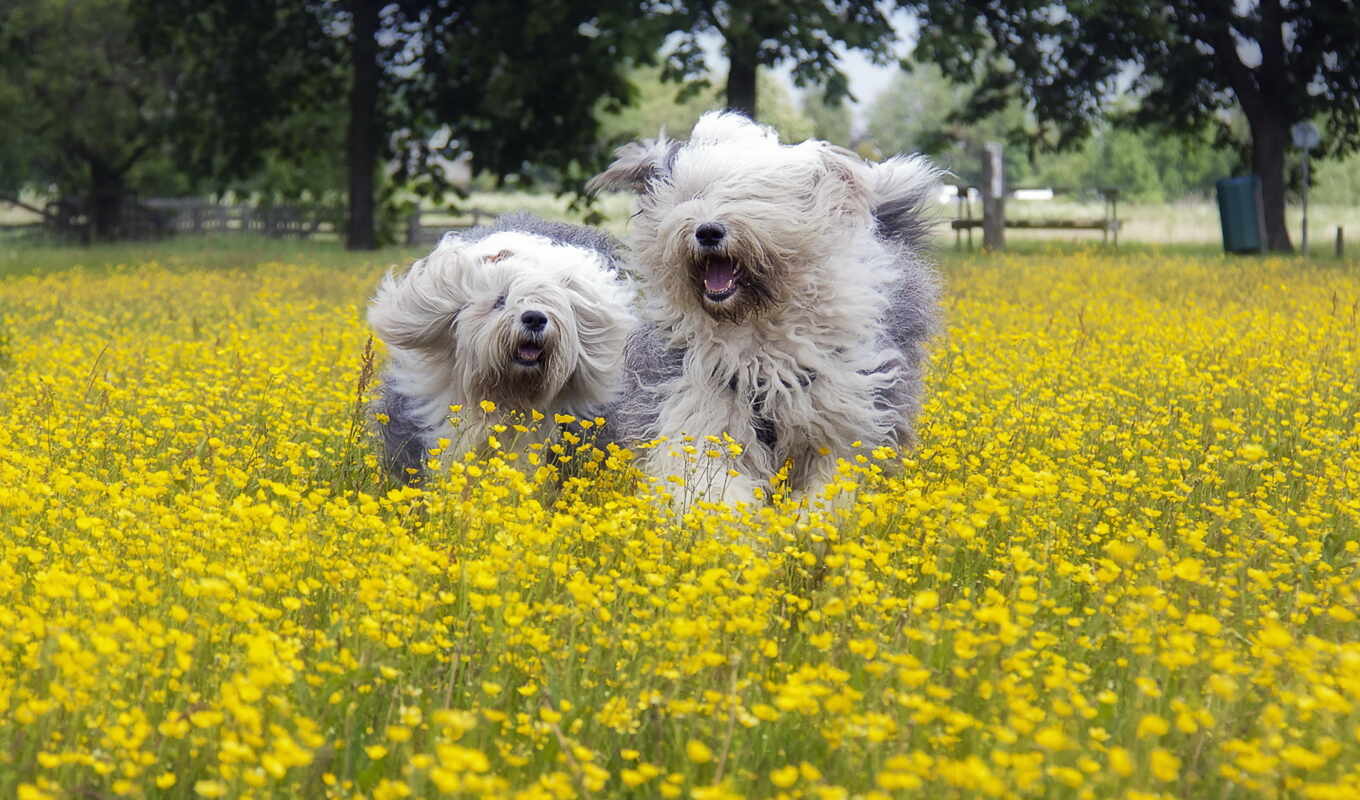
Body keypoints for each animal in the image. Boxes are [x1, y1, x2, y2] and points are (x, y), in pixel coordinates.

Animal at [590, 112, 941, 506]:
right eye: (693, 196)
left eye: (753, 197)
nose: (707, 231)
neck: (755, 328)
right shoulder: (696, 400)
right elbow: (709, 477)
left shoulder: (847, 409)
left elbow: (829, 481)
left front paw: (814, 519)